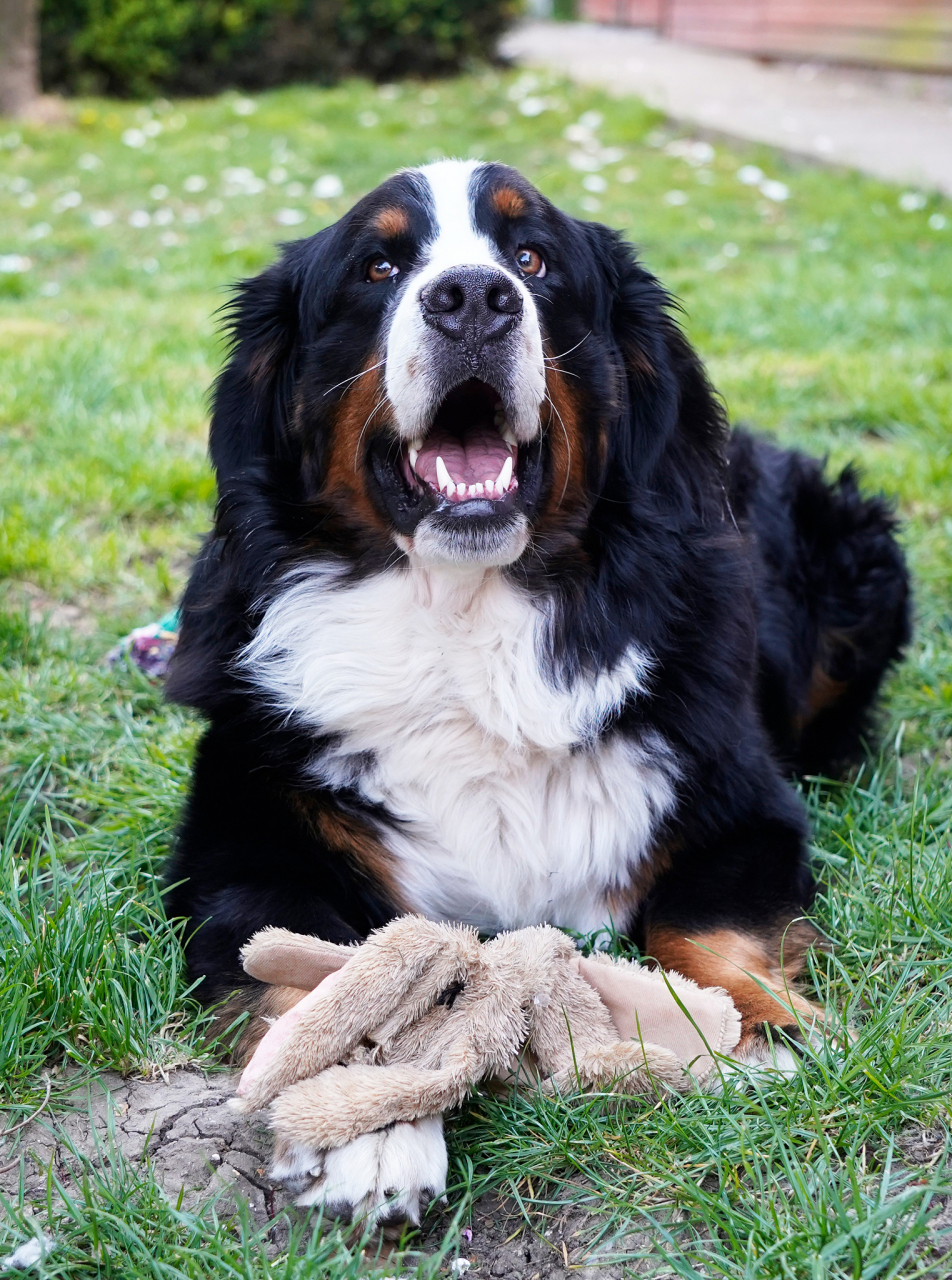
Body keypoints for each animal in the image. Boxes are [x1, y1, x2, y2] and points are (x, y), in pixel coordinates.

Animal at [161, 160, 905, 1228]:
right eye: (379, 266)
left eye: (533, 258)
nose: (472, 297)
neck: (464, 621)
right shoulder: (241, 845)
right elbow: (325, 971)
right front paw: (371, 1126)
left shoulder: (742, 810)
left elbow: (703, 926)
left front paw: (773, 1028)